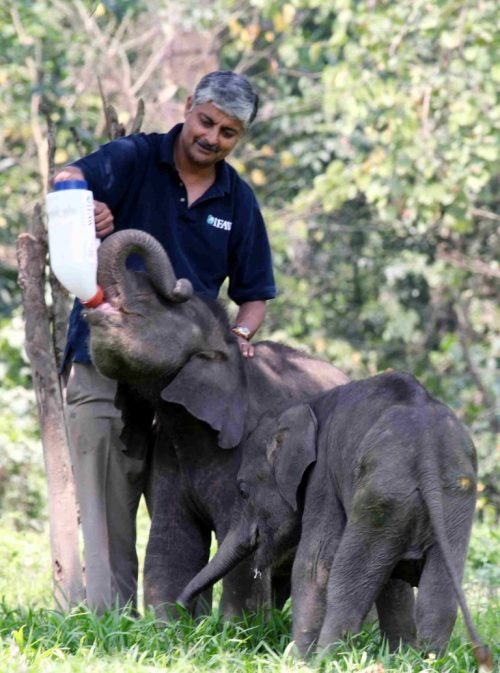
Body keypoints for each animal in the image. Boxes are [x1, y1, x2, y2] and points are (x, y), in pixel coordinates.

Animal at [180, 370, 492, 668]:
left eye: (243, 491)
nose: (185, 614)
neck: (310, 405)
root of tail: (427, 449)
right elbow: (393, 583)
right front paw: (399, 658)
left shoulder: (323, 478)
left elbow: (313, 564)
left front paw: (296, 661)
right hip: (454, 498)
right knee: (437, 595)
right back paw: (427, 661)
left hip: (380, 496)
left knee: (345, 581)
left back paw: (325, 660)